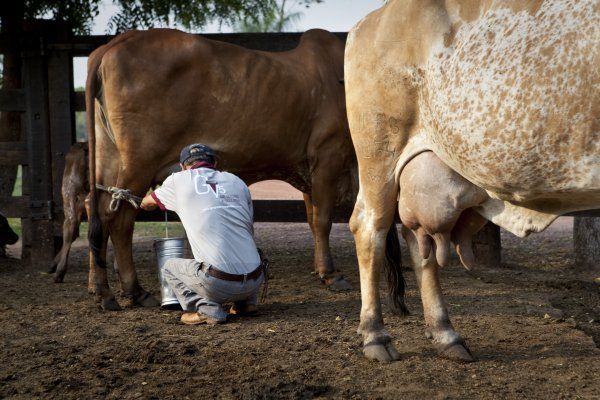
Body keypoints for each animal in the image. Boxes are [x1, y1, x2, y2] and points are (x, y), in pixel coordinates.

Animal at [84, 28, 356, 310]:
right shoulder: (328, 155)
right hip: (139, 163)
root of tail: (120, 41)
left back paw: (101, 289)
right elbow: (323, 219)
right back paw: (134, 290)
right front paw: (331, 274)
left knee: (96, 209)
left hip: (109, 155)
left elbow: (313, 220)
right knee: (119, 218)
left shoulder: (306, 169)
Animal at [346, 0, 600, 362]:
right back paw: (375, 335)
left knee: (416, 239)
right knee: (370, 229)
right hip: (379, 154)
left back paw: (445, 333)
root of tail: (370, 20)